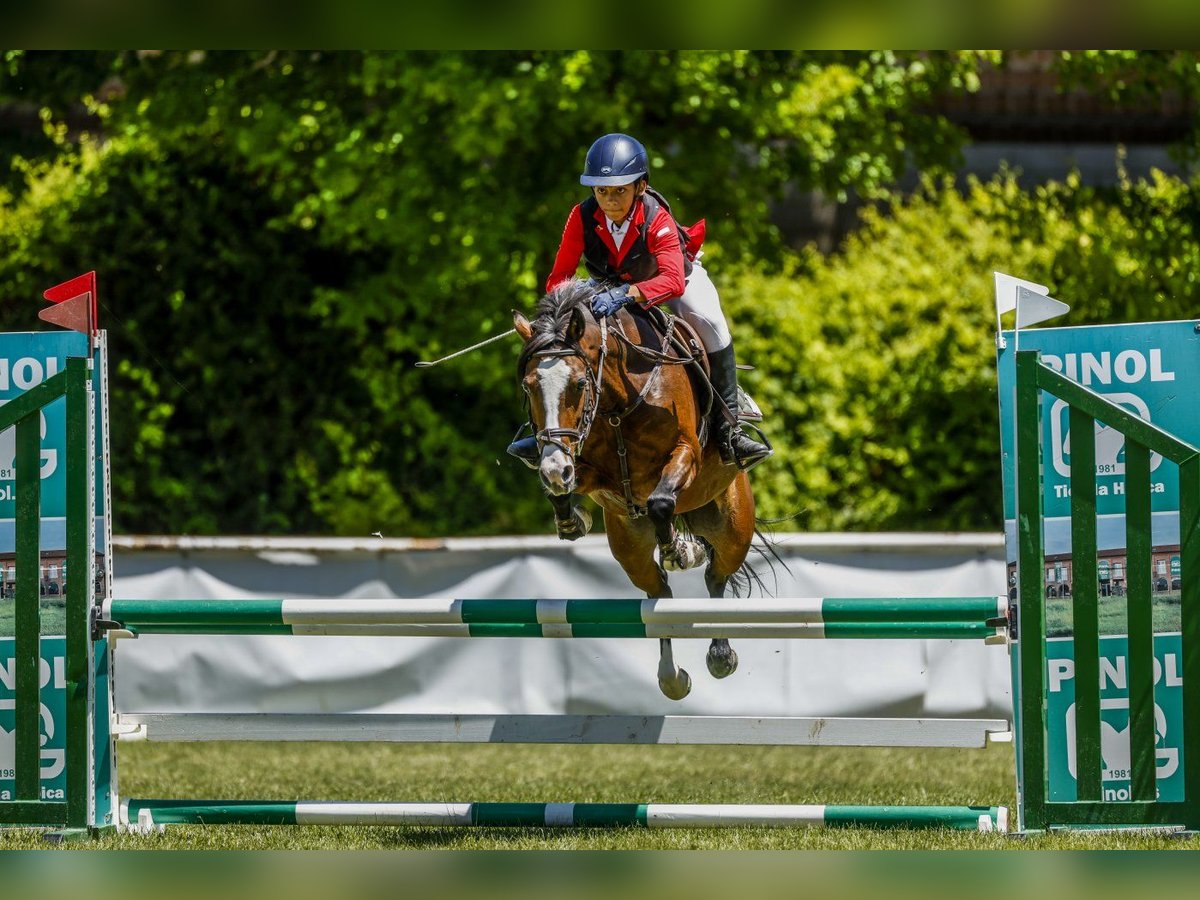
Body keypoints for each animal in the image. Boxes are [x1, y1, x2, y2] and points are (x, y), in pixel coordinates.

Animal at [511, 278, 753, 700]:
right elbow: (567, 488)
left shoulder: (685, 453)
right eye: (528, 388)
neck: (618, 398)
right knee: (659, 596)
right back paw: (672, 677)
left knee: (716, 575)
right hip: (629, 545)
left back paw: (720, 655)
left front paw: (679, 550)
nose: (554, 467)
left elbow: (659, 501)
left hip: (733, 527)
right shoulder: (591, 470)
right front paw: (571, 519)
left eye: (579, 383)